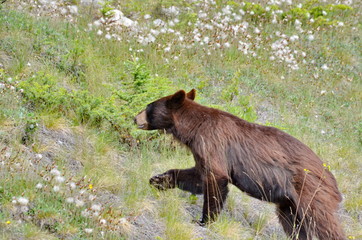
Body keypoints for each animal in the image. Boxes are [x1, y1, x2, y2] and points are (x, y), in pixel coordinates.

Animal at [134, 89, 346, 239]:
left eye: (148, 106)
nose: (135, 118)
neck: (194, 128)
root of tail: (332, 178)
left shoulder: (213, 143)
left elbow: (215, 180)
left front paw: (204, 221)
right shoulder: (201, 151)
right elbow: (196, 177)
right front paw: (157, 180)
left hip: (311, 191)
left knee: (323, 222)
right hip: (289, 202)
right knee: (293, 223)